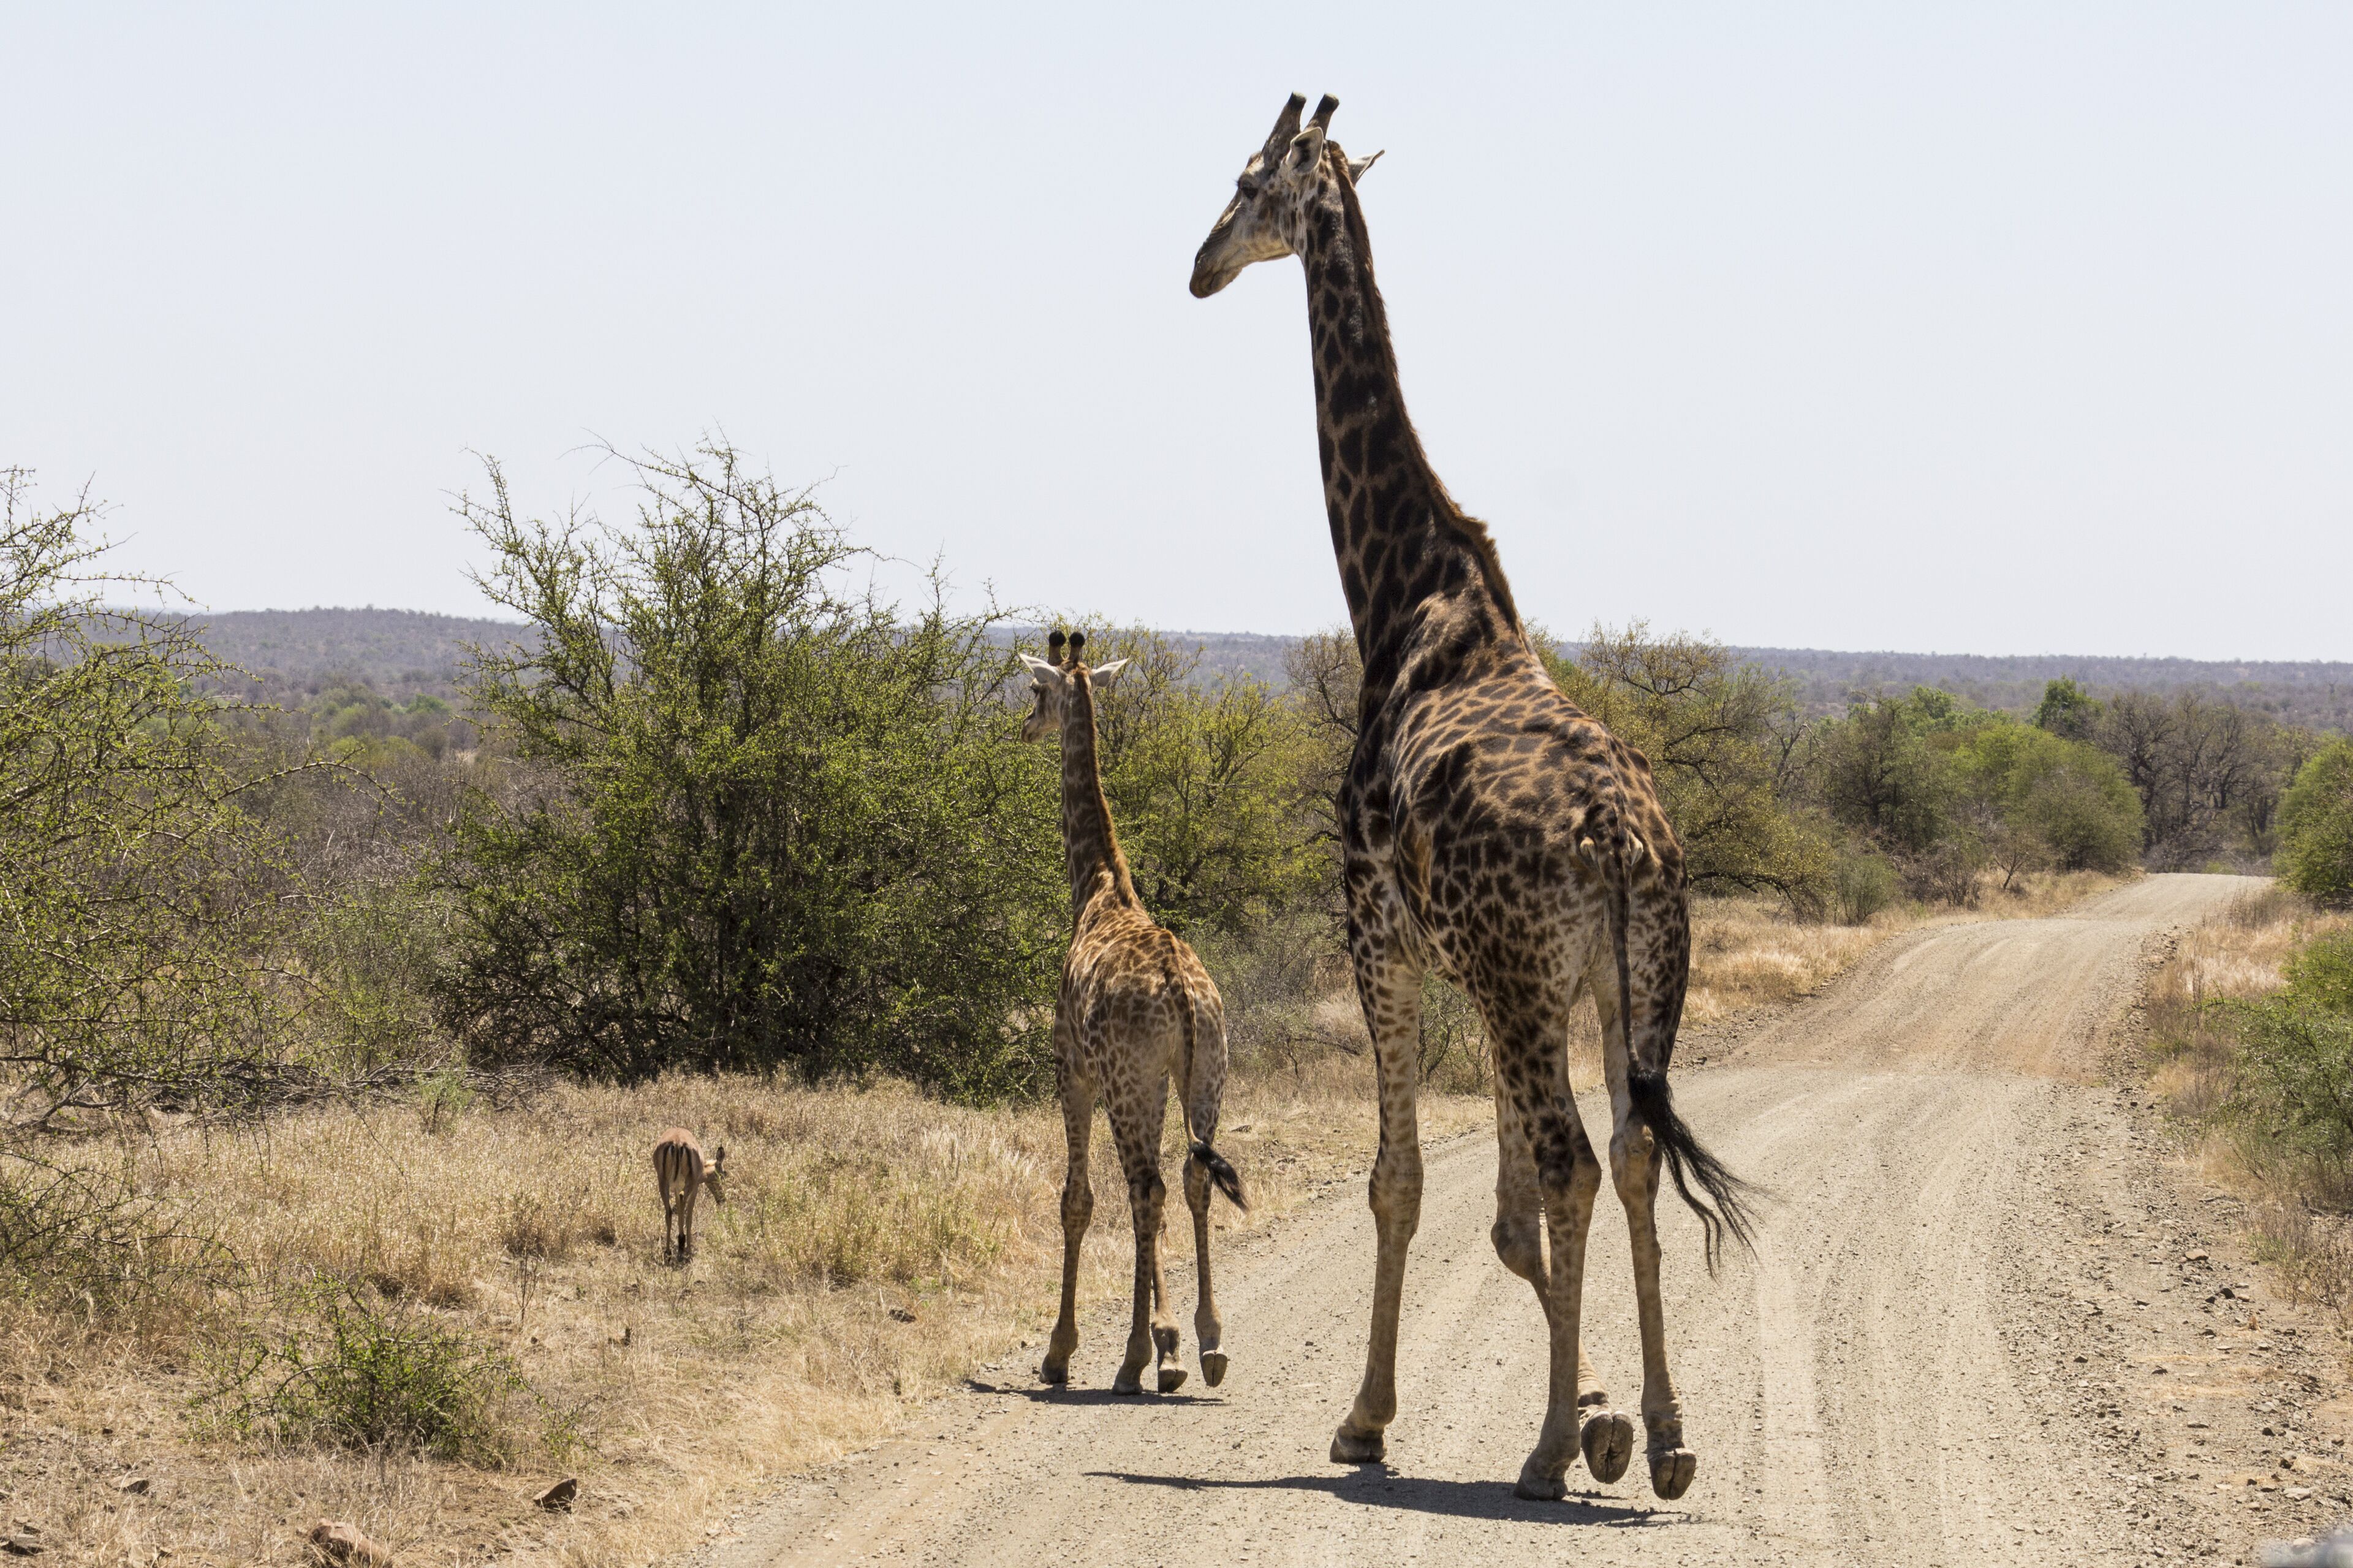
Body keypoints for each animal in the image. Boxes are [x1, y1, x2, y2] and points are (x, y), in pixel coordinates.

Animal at [1020, 629, 1249, 1396]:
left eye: (1036, 690)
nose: (1022, 726)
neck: (1098, 888)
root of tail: (1182, 990)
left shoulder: (1072, 1070)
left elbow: (1078, 1199)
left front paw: (1062, 1352)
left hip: (1130, 1081)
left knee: (1147, 1189)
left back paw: (1145, 1357)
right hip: (1205, 1070)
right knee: (1193, 1177)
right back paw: (1208, 1344)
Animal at [1187, 94, 1758, 1502]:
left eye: (1247, 182)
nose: (1200, 266)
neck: (1403, 596)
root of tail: (1621, 837)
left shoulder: (1377, 931)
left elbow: (1402, 1180)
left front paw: (1369, 1417)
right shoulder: (1506, 979)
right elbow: (1502, 1215)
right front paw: (1608, 1406)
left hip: (1519, 976)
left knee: (1571, 1158)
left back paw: (1547, 1453)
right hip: (1631, 977)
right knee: (1630, 1150)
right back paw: (1669, 1437)